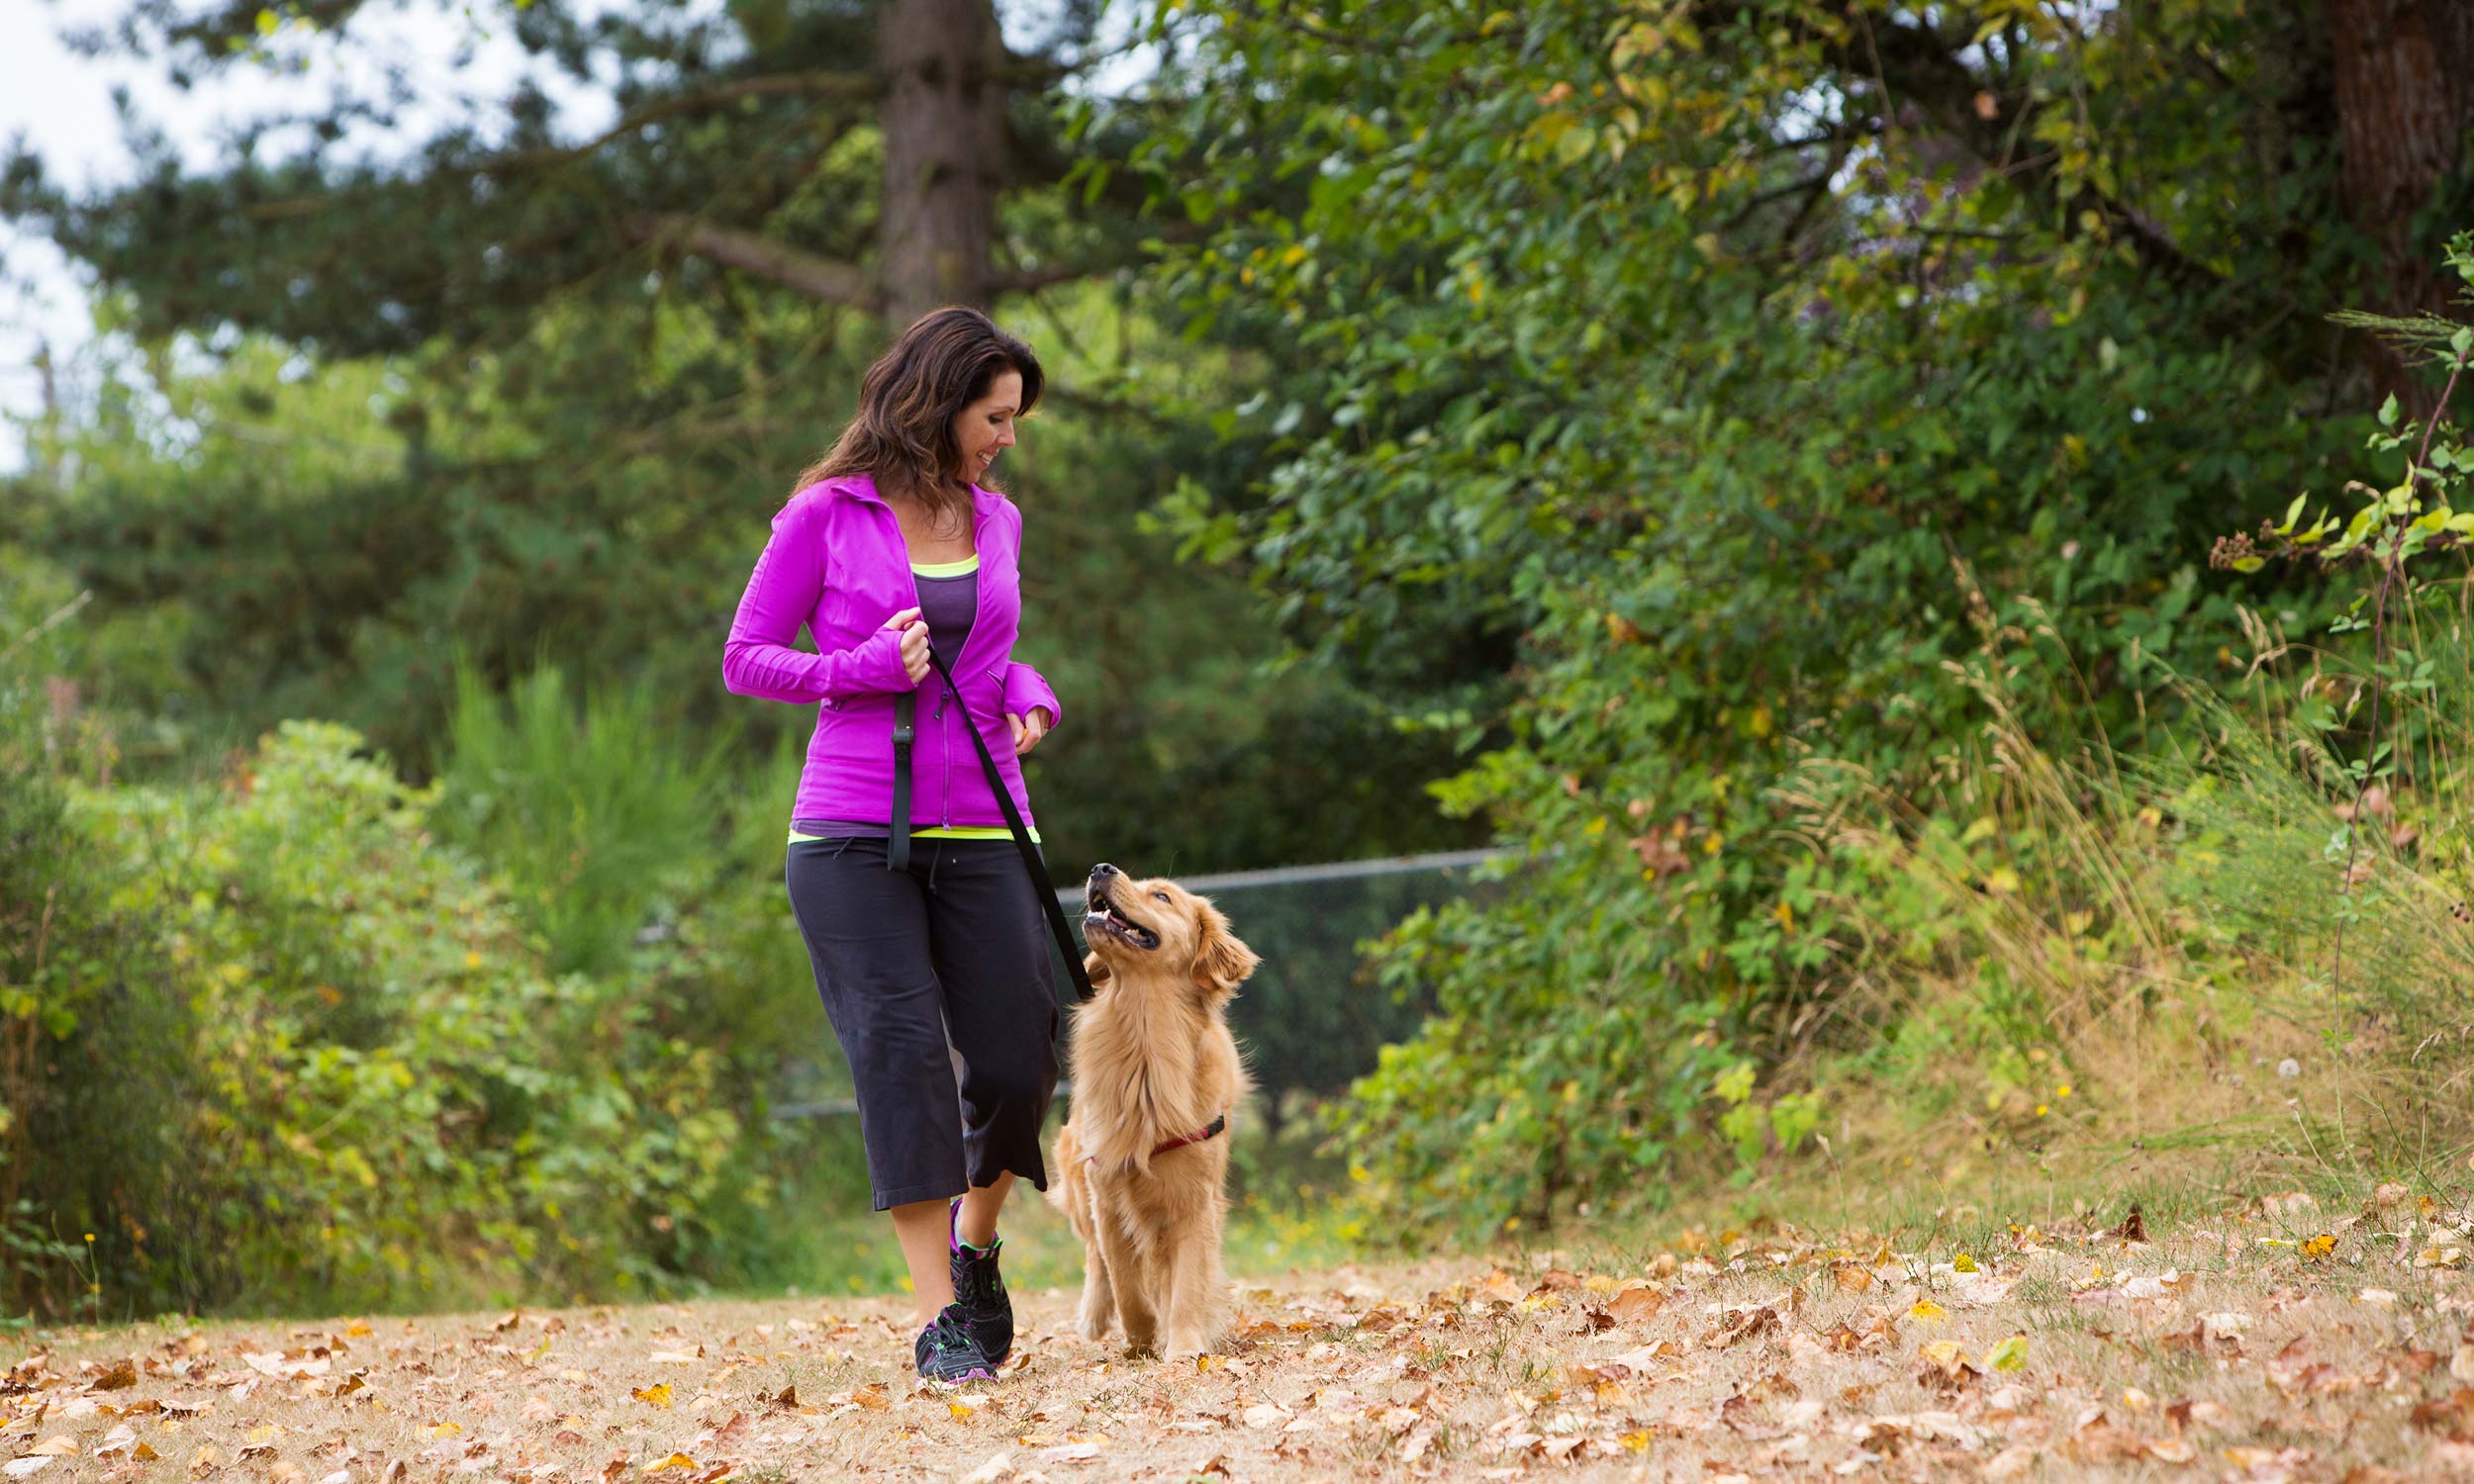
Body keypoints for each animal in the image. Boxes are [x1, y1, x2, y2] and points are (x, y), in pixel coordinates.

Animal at [1054, 866, 1267, 1365]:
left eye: (1163, 896)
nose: (1101, 869)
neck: (1145, 1034)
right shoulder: (1107, 1190)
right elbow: (1126, 1284)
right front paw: (1141, 1337)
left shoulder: (1194, 1199)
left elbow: (1187, 1281)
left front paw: (1184, 1344)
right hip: (1075, 1174)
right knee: (1094, 1254)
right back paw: (1094, 1314)